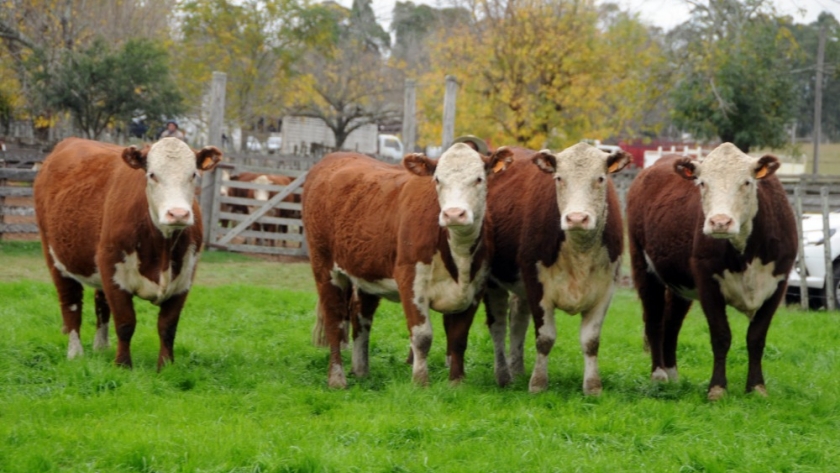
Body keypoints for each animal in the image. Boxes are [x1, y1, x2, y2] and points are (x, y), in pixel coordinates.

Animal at [34, 136, 221, 368]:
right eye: (152, 174)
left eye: (193, 174)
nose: (178, 214)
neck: (162, 248)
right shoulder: (114, 274)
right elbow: (125, 323)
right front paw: (123, 365)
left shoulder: (184, 279)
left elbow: (167, 327)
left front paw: (165, 366)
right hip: (55, 259)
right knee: (71, 306)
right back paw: (75, 354)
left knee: (101, 303)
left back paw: (101, 347)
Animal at [302, 144, 512, 388]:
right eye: (437, 179)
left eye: (479, 178)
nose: (453, 214)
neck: (457, 253)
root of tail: (335, 156)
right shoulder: (411, 280)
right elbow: (422, 336)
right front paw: (420, 381)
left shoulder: (475, 287)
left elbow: (459, 338)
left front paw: (456, 382)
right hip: (325, 267)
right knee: (335, 321)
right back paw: (337, 379)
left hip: (366, 272)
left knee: (360, 317)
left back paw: (361, 370)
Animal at [480, 144, 632, 394]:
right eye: (559, 178)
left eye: (600, 178)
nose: (577, 218)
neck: (579, 253)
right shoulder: (536, 285)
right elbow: (545, 338)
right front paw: (538, 384)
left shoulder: (605, 289)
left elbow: (591, 341)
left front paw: (593, 387)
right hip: (493, 282)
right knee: (498, 325)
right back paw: (503, 375)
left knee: (518, 320)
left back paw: (517, 369)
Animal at [628, 143, 796, 398]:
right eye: (702, 183)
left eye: (747, 182)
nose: (720, 222)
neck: (745, 253)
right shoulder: (707, 281)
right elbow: (721, 335)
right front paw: (717, 388)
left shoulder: (778, 284)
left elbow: (756, 337)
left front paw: (756, 387)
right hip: (643, 267)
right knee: (655, 319)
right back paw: (659, 376)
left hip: (679, 285)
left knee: (672, 323)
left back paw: (673, 375)